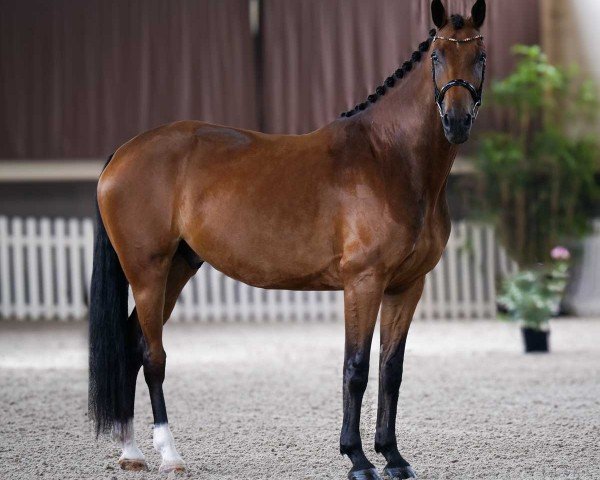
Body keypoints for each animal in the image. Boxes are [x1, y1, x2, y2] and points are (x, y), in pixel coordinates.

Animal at [88, 1, 488, 478]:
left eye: (480, 57)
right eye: (437, 56)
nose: (457, 122)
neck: (389, 158)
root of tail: (125, 151)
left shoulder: (407, 286)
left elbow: (392, 370)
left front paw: (393, 457)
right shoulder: (363, 282)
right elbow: (356, 368)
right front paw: (357, 459)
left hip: (178, 269)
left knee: (131, 347)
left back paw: (131, 452)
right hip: (147, 272)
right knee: (152, 356)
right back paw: (169, 454)